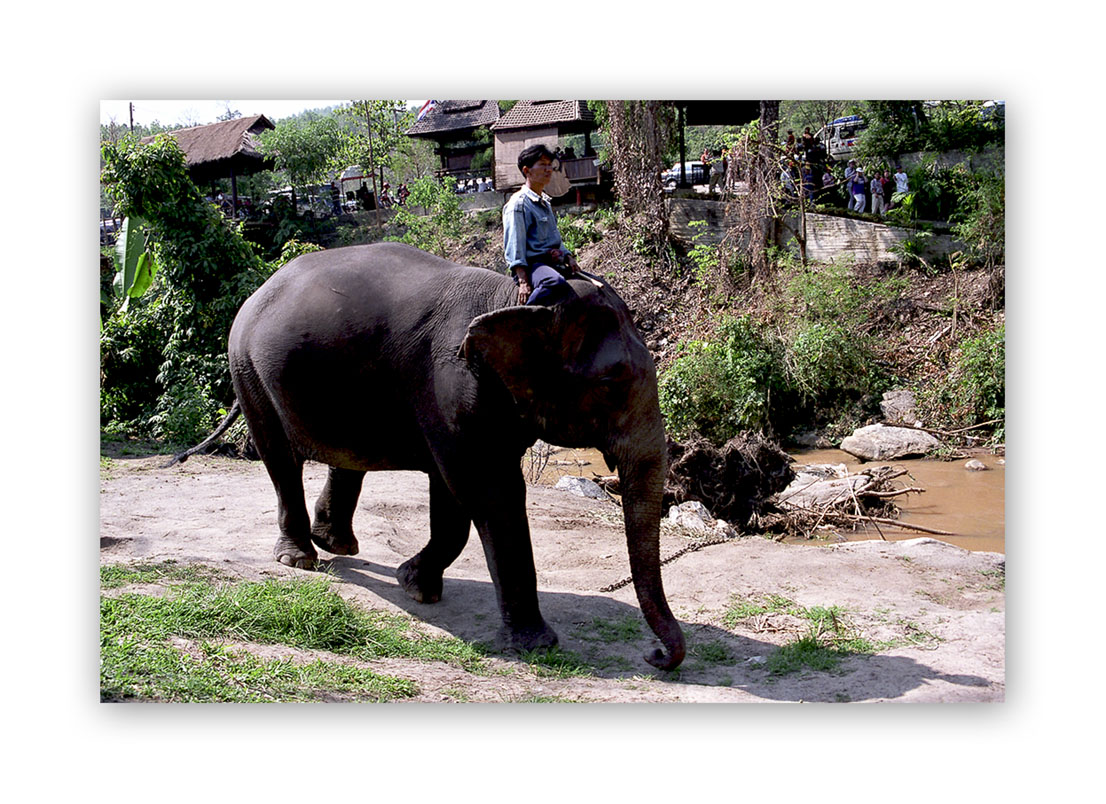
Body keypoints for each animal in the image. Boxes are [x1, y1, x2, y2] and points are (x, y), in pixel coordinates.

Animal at [226, 242, 681, 667]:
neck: (510, 299)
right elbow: (489, 491)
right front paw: (537, 645)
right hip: (247, 370)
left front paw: (414, 584)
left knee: (347, 457)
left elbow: (453, 496)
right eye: (610, 384)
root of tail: (260, 289)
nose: (655, 655)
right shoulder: (453, 384)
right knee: (280, 459)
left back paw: (335, 544)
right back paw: (298, 558)